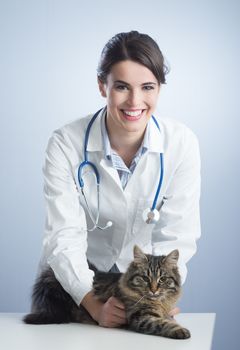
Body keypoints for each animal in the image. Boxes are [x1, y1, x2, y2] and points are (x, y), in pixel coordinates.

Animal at [23, 246, 191, 340]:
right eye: (145, 278)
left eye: (162, 279)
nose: (154, 289)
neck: (158, 302)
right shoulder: (141, 317)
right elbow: (162, 323)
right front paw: (180, 330)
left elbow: (168, 319)